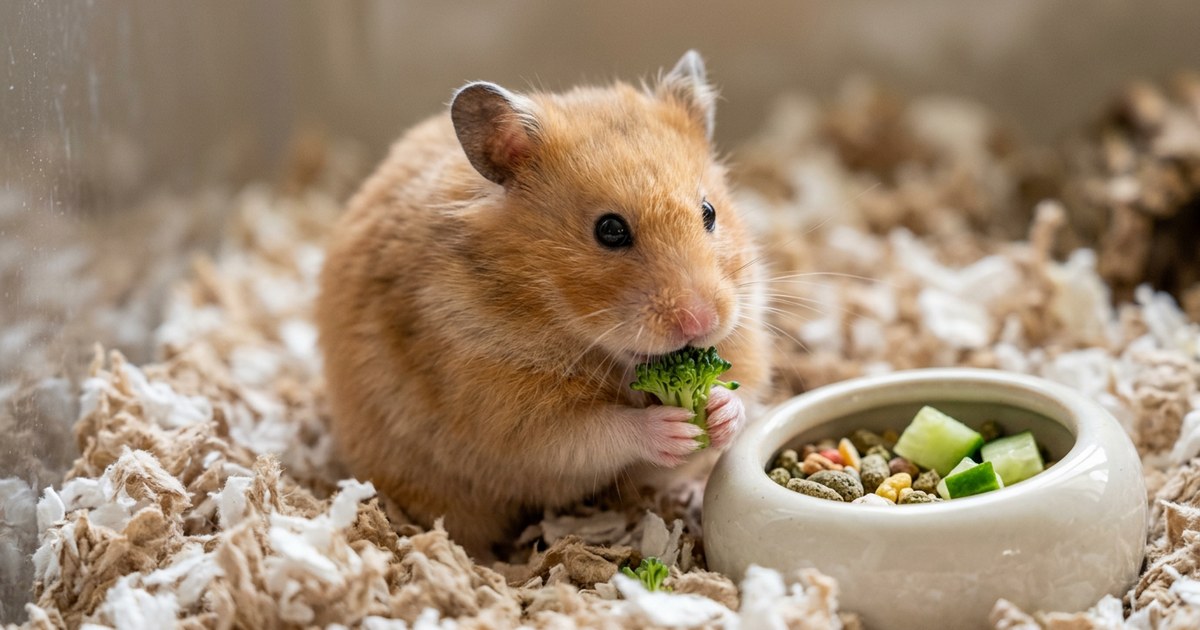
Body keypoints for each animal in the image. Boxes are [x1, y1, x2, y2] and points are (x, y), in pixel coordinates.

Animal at [316, 51, 771, 557]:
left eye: (709, 213)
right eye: (610, 230)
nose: (701, 321)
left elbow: (738, 397)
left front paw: (719, 411)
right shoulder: (506, 411)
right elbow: (595, 433)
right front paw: (673, 427)